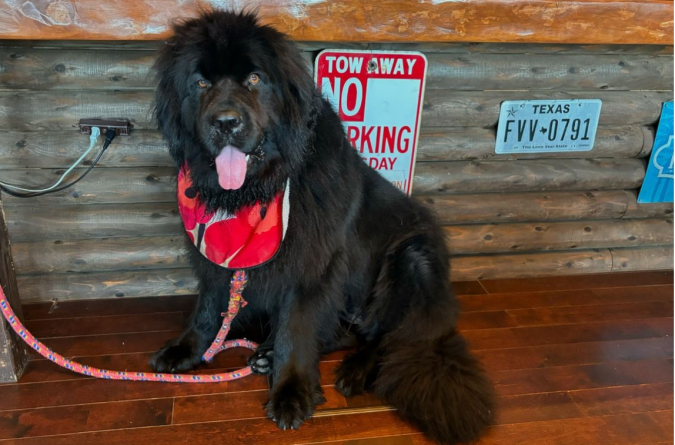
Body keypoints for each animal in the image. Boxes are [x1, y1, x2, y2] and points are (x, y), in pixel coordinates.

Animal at [151, 10, 494, 444]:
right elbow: (209, 308)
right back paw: (268, 354)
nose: (225, 122)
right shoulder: (216, 262)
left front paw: (290, 391)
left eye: (255, 79)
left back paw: (353, 370)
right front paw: (189, 349)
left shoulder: (312, 262)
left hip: (411, 260)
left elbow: (298, 326)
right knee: (345, 331)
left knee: (391, 337)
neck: (258, 190)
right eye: (200, 84)